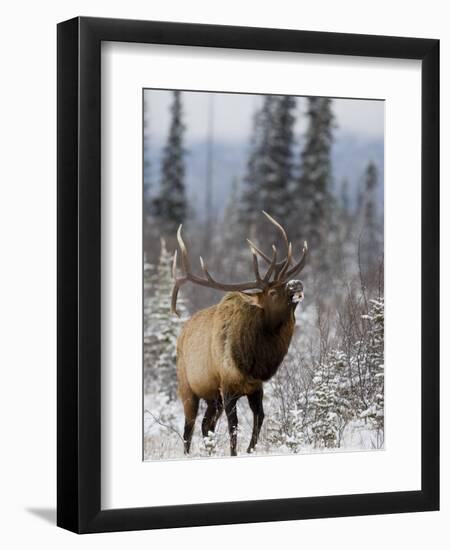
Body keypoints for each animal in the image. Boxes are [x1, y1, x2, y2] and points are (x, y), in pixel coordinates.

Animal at [171, 211, 308, 458]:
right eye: (272, 292)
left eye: (285, 282)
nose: (296, 283)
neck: (254, 360)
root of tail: (181, 334)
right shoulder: (228, 387)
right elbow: (233, 426)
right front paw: (235, 453)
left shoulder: (255, 387)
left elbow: (259, 418)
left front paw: (250, 449)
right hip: (187, 387)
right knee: (189, 427)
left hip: (212, 397)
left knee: (206, 425)